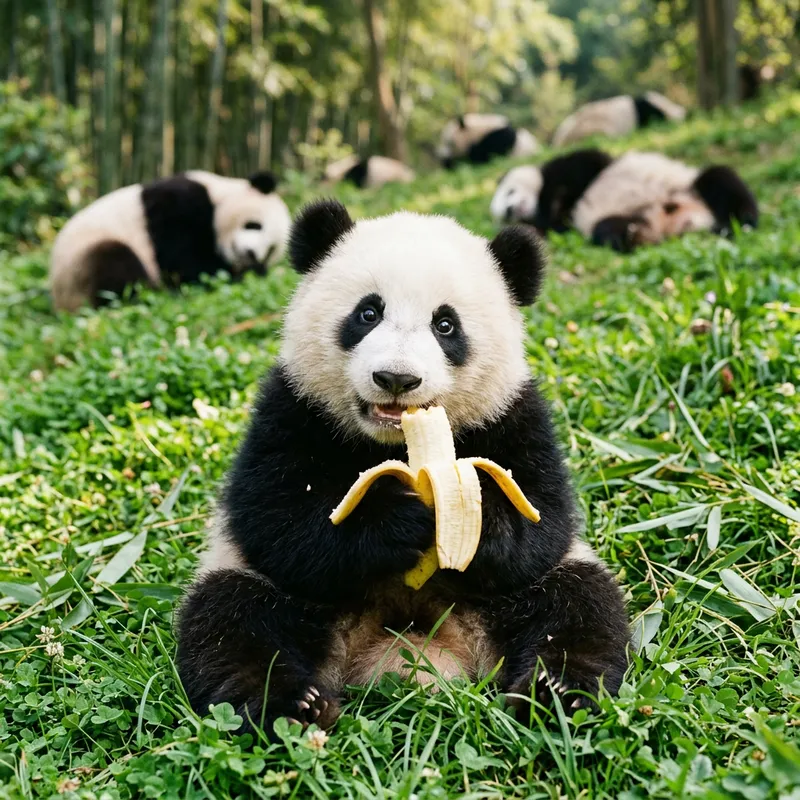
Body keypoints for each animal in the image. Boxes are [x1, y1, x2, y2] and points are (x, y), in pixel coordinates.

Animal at [49, 171, 291, 312]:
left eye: (270, 250)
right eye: (254, 225)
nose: (251, 254)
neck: (218, 194)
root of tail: (61, 302)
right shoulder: (179, 204)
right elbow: (184, 261)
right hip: (80, 262)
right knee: (113, 262)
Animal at [176, 199, 630, 735]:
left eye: (445, 325)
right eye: (368, 312)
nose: (396, 378)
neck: (398, 442)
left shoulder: (515, 414)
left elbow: (545, 518)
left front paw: (478, 520)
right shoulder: (291, 406)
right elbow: (276, 517)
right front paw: (398, 518)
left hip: (514, 599)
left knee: (578, 607)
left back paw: (554, 693)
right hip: (270, 587)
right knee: (233, 620)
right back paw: (291, 705)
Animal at [490, 148, 758, 252]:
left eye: (509, 192)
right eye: (504, 214)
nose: (511, 208)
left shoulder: (584, 167)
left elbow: (581, 166)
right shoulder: (559, 223)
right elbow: (553, 225)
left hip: (689, 185)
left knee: (720, 179)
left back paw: (739, 222)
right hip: (626, 215)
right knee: (606, 229)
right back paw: (636, 235)